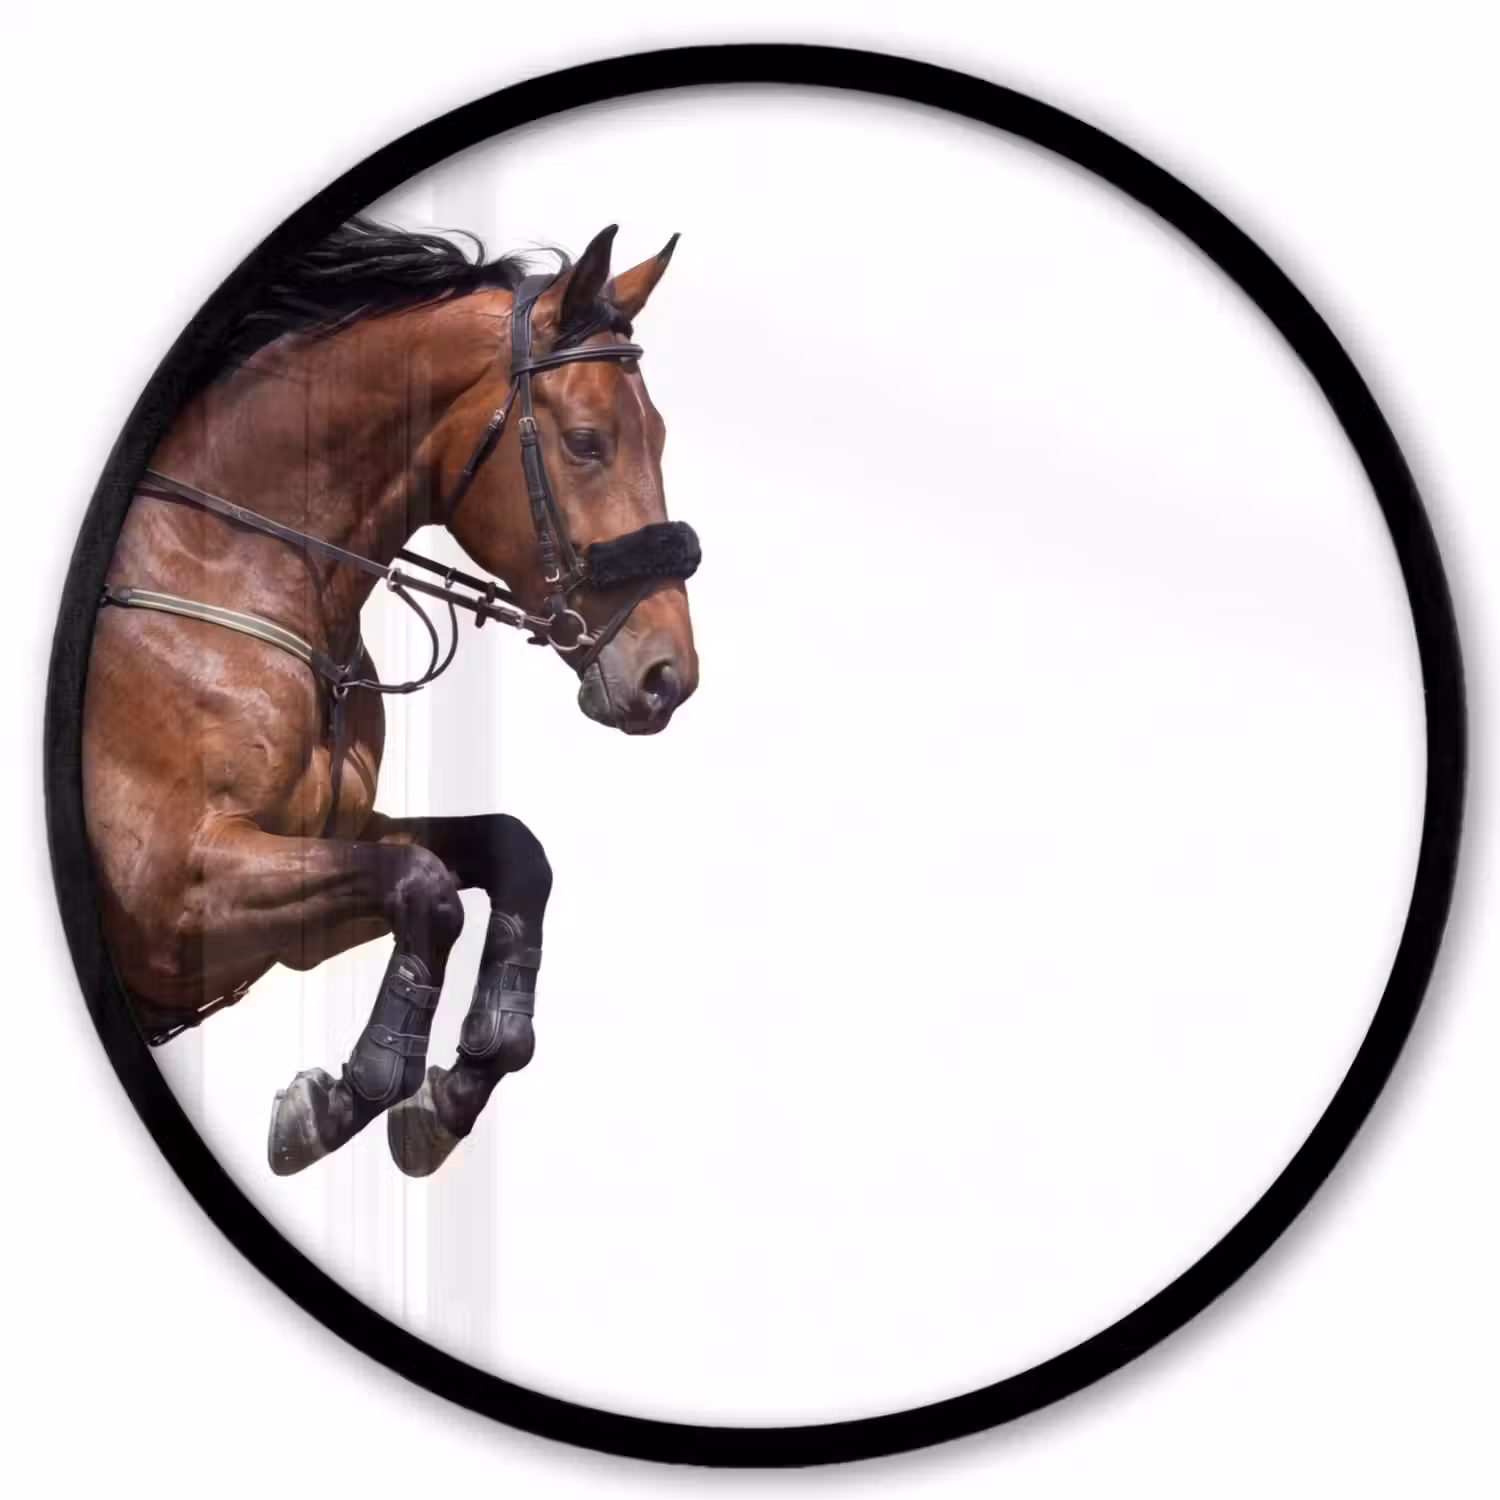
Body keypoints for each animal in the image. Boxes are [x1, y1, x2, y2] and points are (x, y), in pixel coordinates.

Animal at [81, 218, 699, 1179]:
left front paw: (455, 1085)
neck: (230, 566)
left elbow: (506, 853)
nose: (668, 674)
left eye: (661, 435)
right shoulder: (172, 895)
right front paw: (345, 1097)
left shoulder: (311, 865)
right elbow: (427, 887)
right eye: (586, 441)